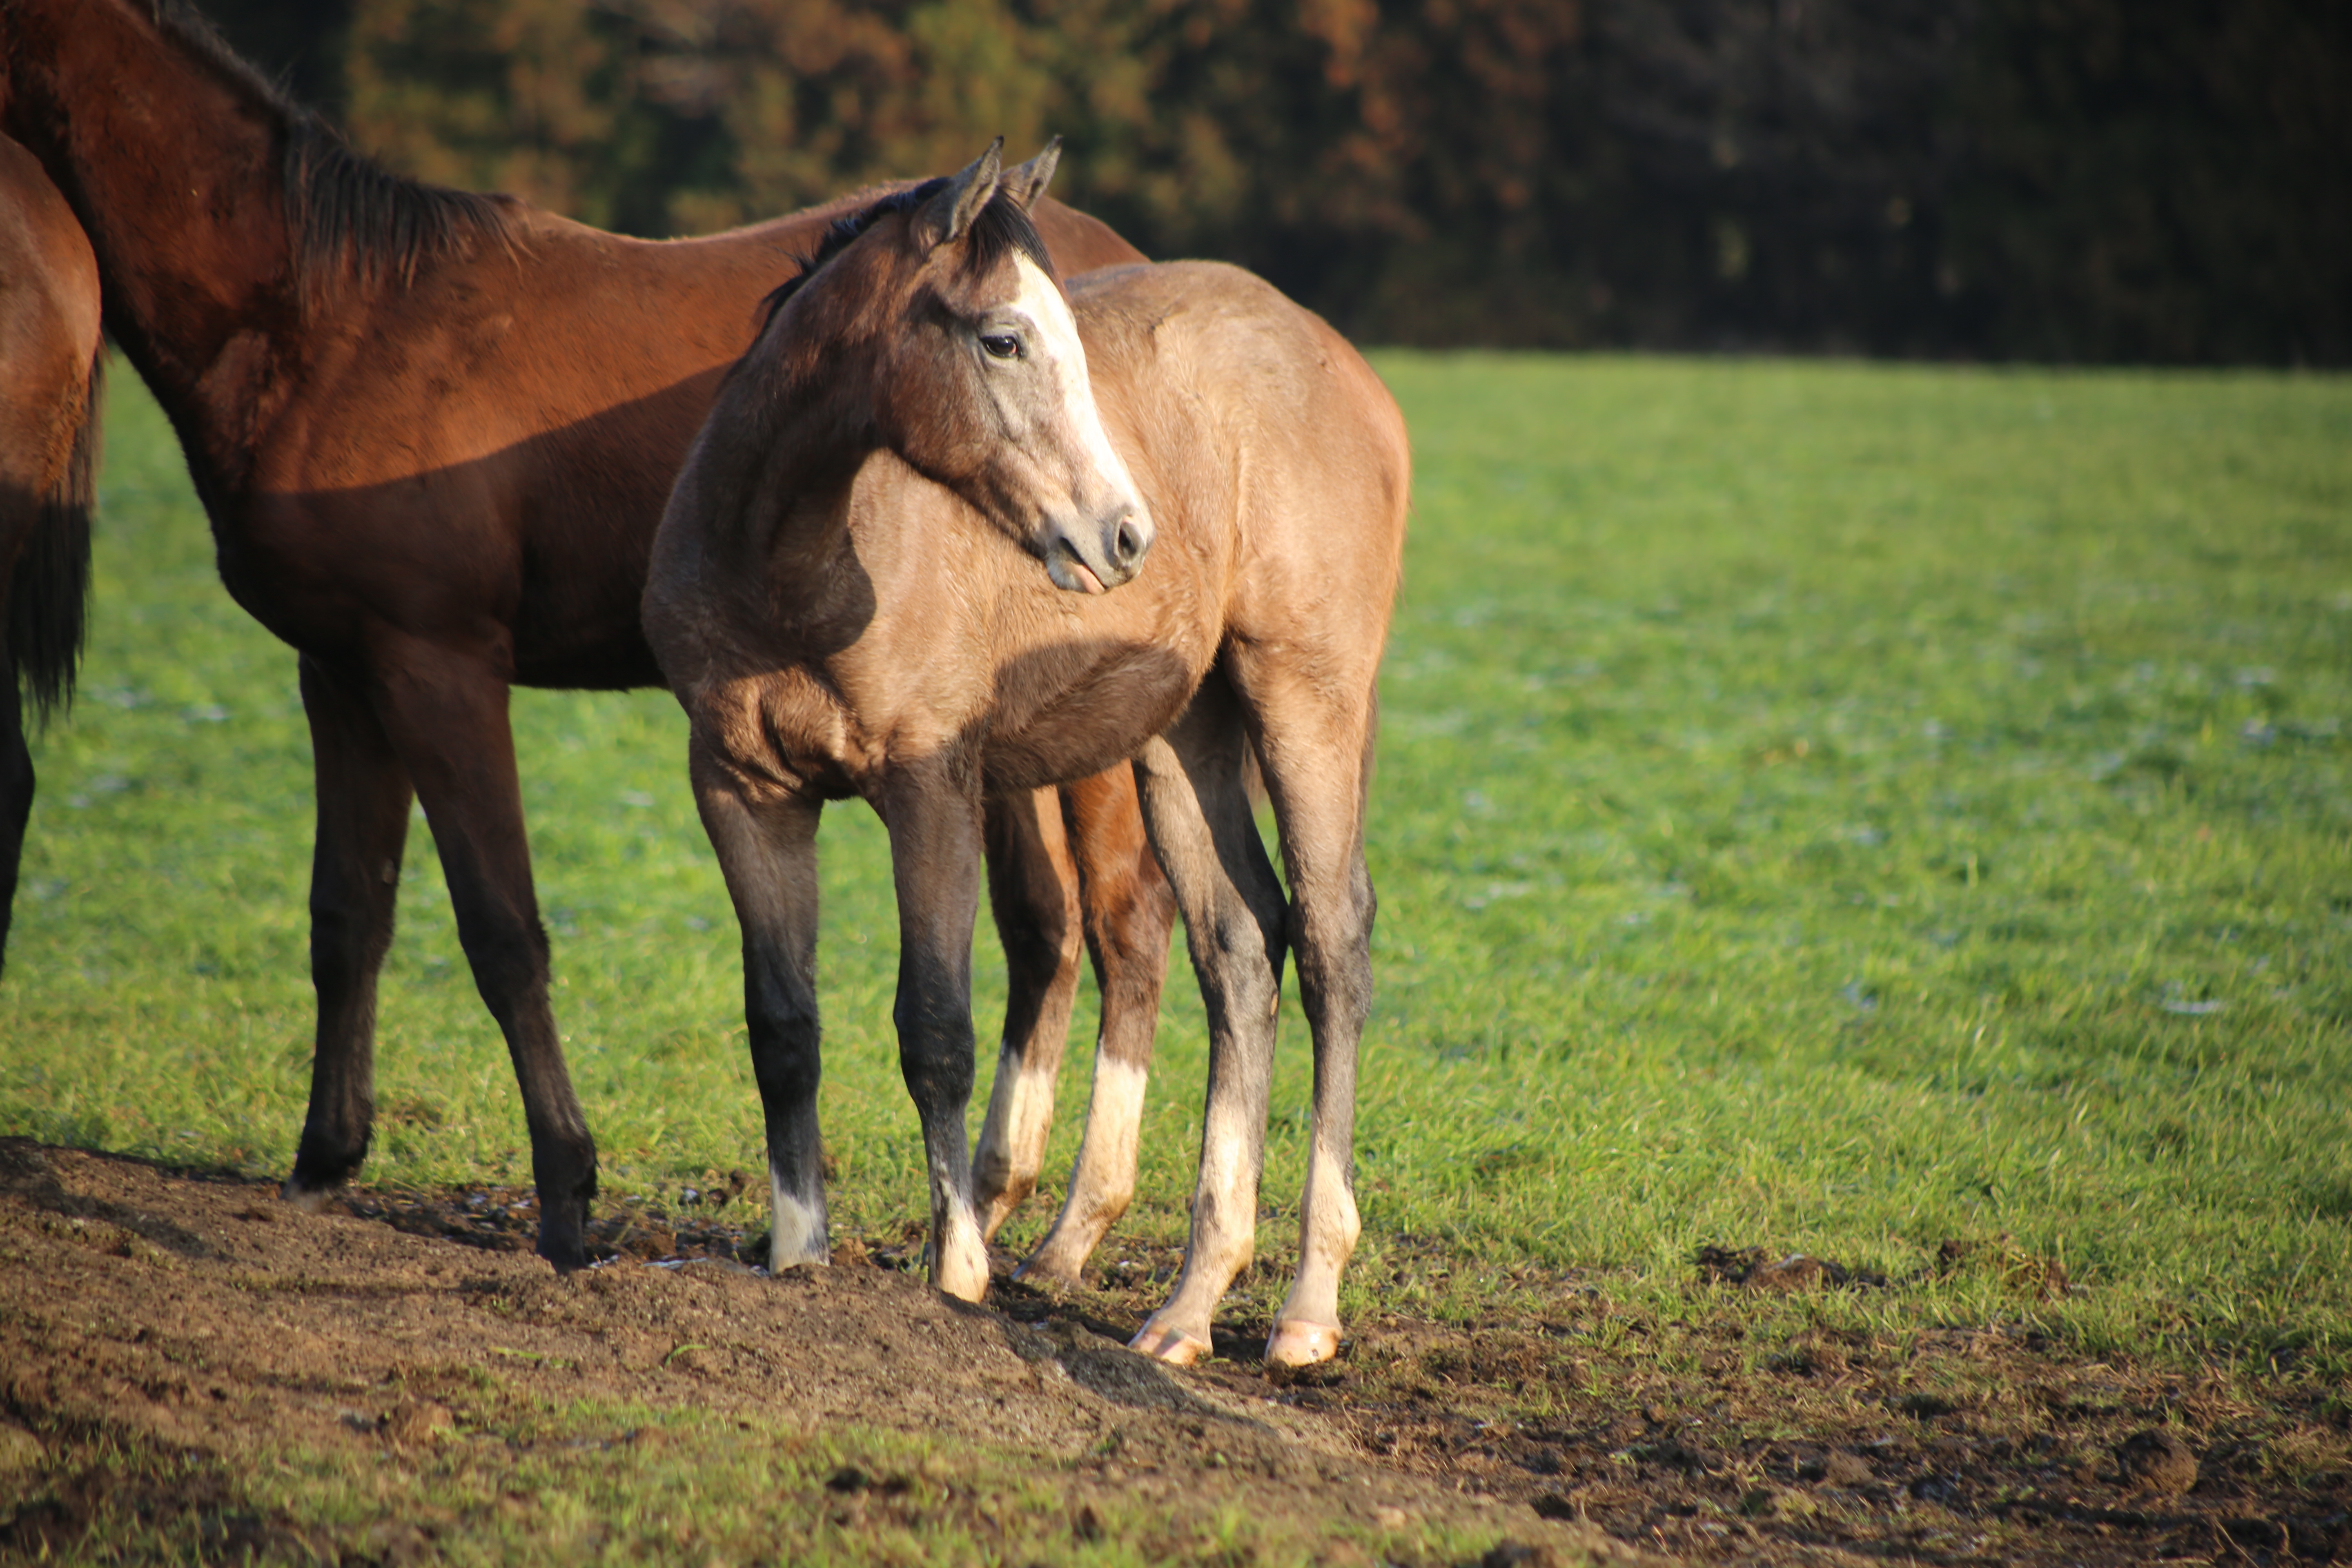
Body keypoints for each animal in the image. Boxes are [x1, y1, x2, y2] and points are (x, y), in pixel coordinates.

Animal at [644, 150, 1401, 1373]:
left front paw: (955, 1271)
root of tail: (1341, 363)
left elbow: (936, 1027)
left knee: (1333, 944)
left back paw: (1305, 1303)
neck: (791, 568)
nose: (1124, 536)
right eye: (1002, 339)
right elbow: (783, 1026)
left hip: (1304, 700)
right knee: (1239, 948)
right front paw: (799, 1256)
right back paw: (1190, 1302)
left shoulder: (930, 788)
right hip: (1184, 738)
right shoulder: (742, 792)